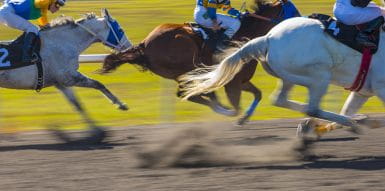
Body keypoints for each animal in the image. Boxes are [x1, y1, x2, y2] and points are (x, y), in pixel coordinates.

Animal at [0, 8, 132, 143]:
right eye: (120, 30)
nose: (129, 48)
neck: (64, 42)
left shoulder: (61, 83)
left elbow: (77, 104)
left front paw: (98, 131)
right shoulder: (69, 77)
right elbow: (98, 84)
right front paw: (120, 104)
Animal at [100, 0, 298, 125]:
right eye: (293, 11)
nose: (303, 21)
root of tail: (144, 44)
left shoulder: (242, 81)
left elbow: (258, 94)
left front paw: (244, 118)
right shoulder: (232, 83)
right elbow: (236, 107)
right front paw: (234, 113)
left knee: (193, 93)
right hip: (186, 66)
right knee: (188, 93)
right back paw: (218, 104)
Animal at [178, 16, 384, 131]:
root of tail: (268, 38)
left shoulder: (363, 90)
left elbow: (349, 106)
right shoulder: (380, 87)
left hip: (288, 76)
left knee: (280, 99)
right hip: (319, 75)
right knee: (312, 107)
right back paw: (350, 122)